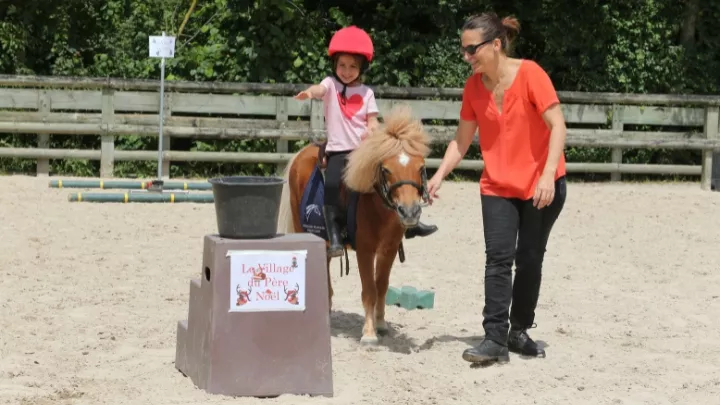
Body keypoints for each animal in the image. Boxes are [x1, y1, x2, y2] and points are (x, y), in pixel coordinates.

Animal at [278, 104, 434, 344]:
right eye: (386, 169)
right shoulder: (365, 250)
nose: (410, 212)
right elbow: (369, 290)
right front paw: (369, 333)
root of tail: (302, 154)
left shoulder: (388, 250)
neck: (377, 205)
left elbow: (381, 286)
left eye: (421, 168)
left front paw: (381, 324)